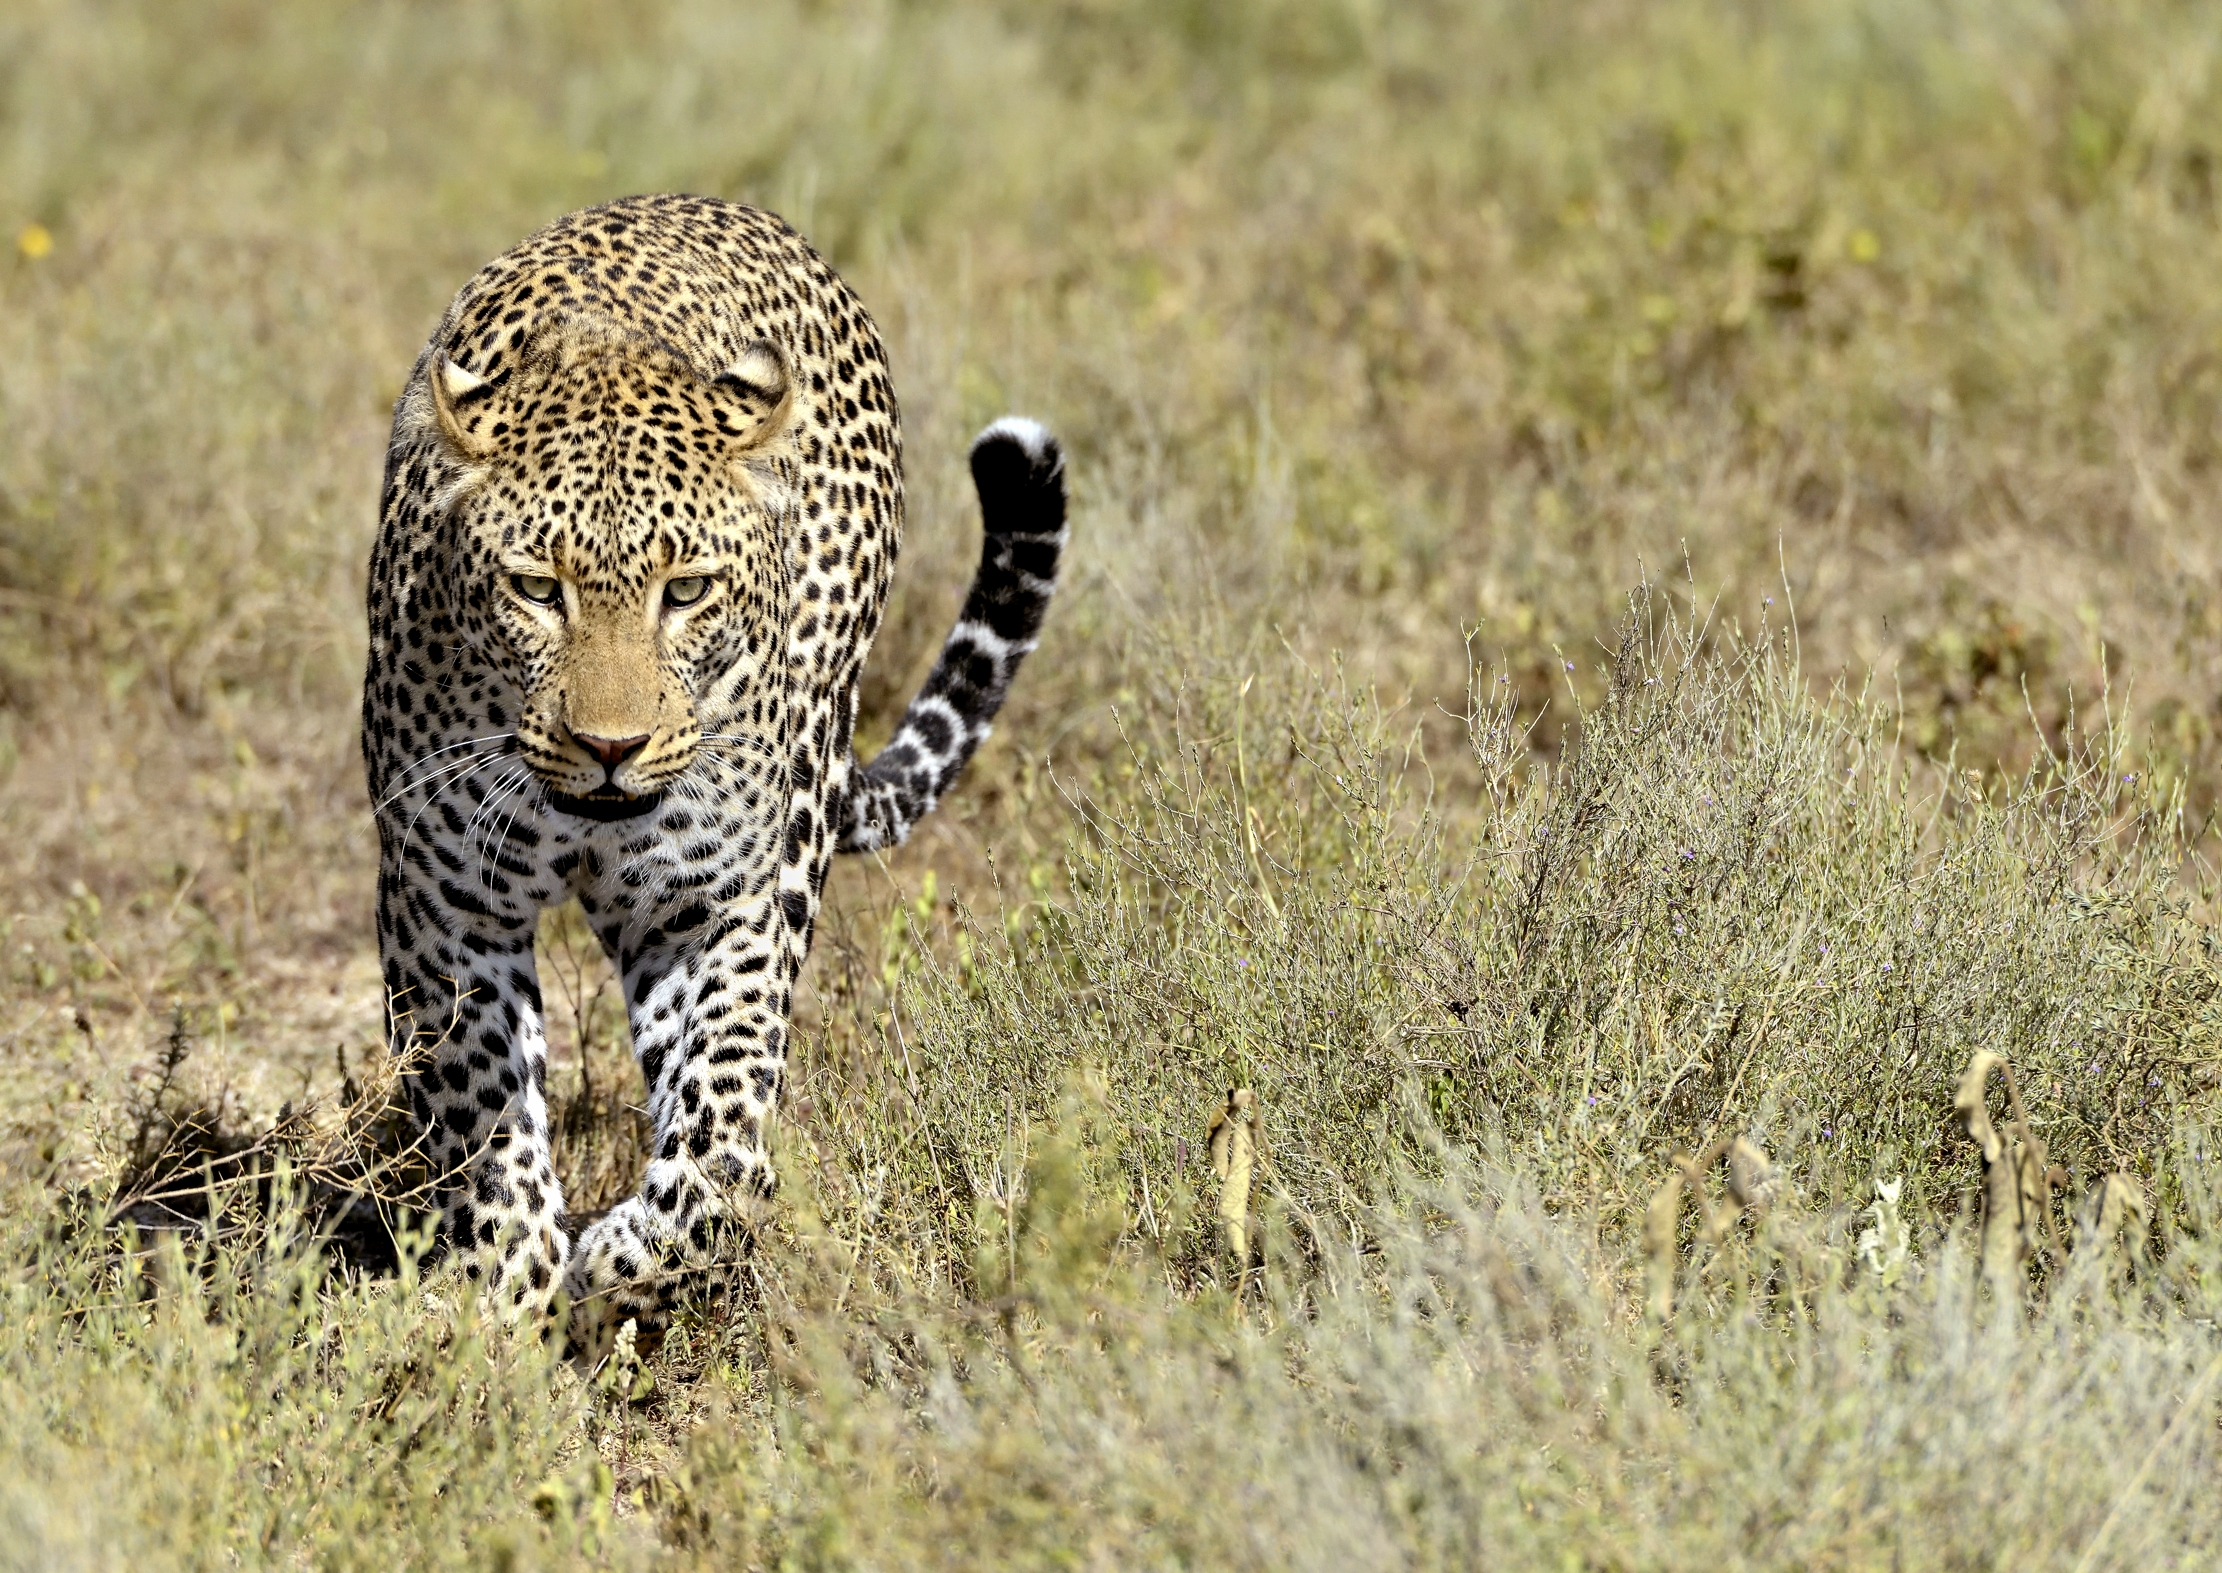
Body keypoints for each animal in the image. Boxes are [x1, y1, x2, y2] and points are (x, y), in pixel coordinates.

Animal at [361, 193, 1065, 1361]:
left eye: (684, 590)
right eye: (535, 589)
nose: (610, 746)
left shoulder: (716, 905)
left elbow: (726, 1130)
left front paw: (624, 1257)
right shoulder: (443, 906)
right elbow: (483, 1121)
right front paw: (507, 1312)